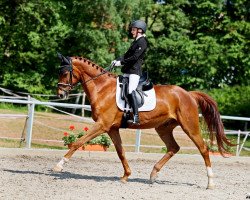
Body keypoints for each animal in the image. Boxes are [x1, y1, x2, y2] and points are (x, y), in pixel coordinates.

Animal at [53, 53, 234, 189]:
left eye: (65, 73)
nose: (60, 94)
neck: (102, 88)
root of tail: (189, 94)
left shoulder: (102, 125)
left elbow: (78, 142)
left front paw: (59, 165)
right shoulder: (112, 128)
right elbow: (121, 152)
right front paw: (126, 176)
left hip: (190, 127)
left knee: (203, 149)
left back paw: (210, 183)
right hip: (163, 128)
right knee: (173, 147)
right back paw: (153, 174)